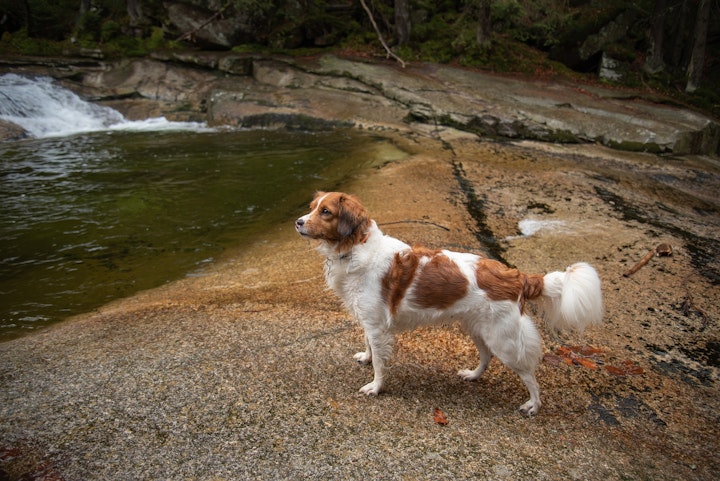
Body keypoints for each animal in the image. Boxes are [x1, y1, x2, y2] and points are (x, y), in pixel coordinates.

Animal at [292, 190, 600, 412]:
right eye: (312, 206)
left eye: (326, 211)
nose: (297, 221)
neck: (355, 247)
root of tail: (516, 275)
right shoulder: (370, 322)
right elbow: (369, 346)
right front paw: (366, 358)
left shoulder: (377, 326)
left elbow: (380, 362)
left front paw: (376, 387)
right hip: (477, 328)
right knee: (486, 357)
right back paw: (473, 375)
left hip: (504, 340)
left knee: (528, 373)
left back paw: (533, 405)